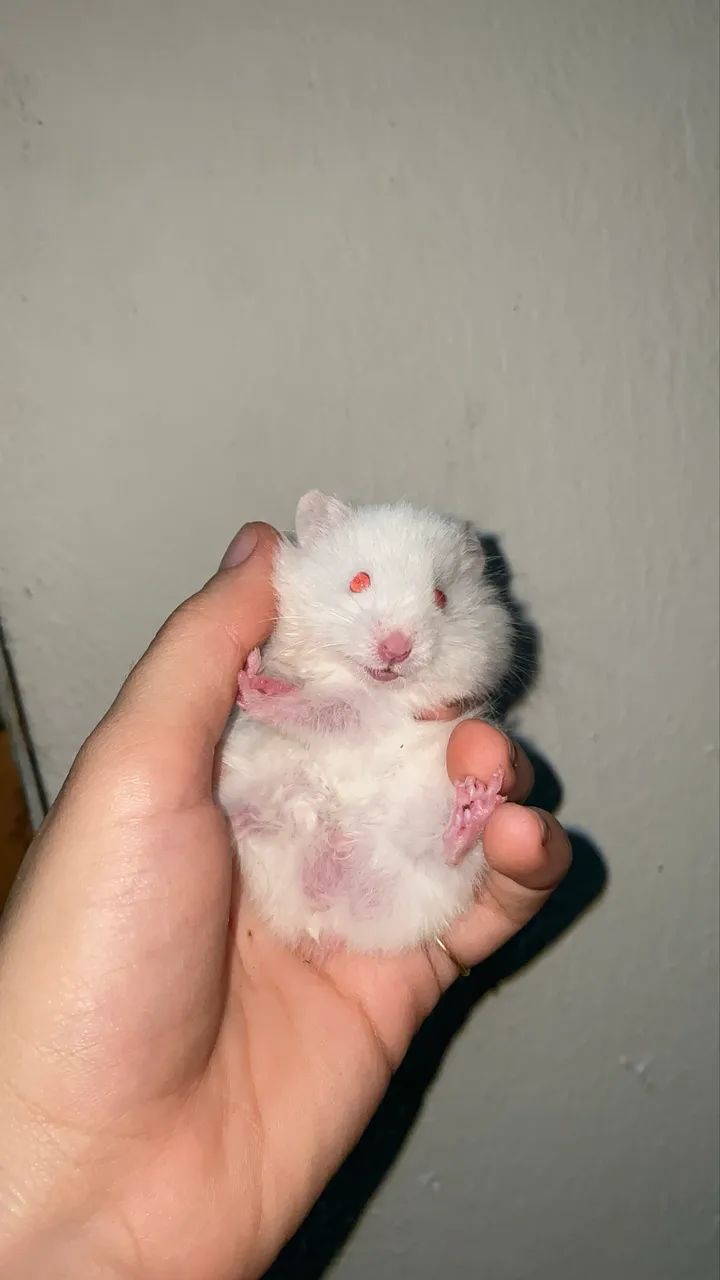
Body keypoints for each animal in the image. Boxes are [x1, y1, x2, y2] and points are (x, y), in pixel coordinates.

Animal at [218, 490, 514, 953]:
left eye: (441, 597)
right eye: (358, 581)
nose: (396, 649)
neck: (364, 681)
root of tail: (331, 908)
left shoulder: (368, 713)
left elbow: (321, 712)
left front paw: (255, 691)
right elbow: (306, 698)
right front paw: (254, 678)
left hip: (428, 818)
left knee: (441, 855)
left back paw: (472, 810)